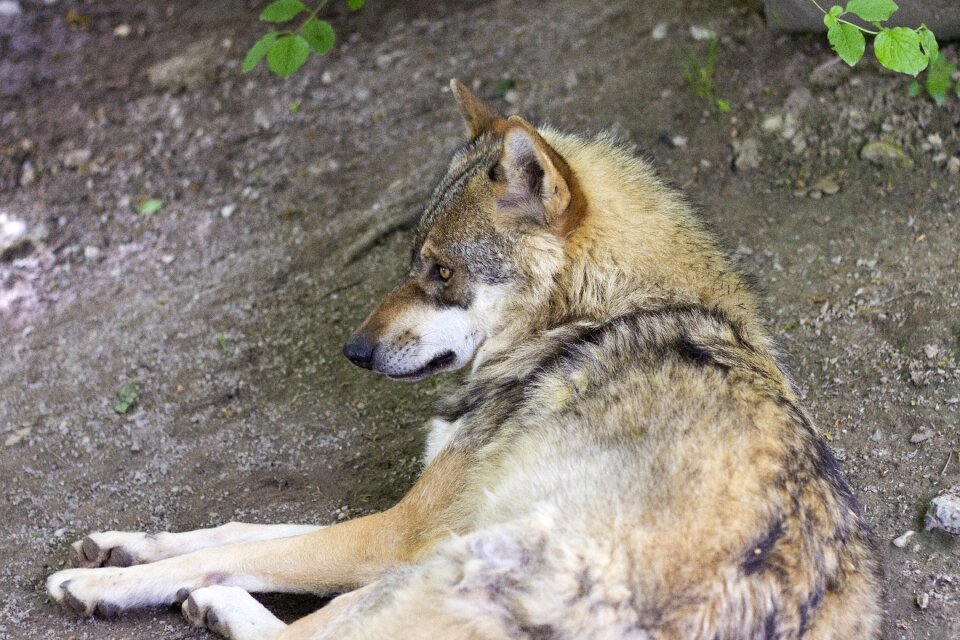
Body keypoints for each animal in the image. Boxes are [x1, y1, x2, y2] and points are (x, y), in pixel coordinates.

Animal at [48, 82, 880, 636]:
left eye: (442, 272)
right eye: (411, 260)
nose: (352, 351)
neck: (598, 314)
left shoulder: (400, 530)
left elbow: (238, 548)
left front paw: (97, 580)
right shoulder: (409, 517)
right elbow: (234, 528)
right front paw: (123, 545)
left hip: (432, 563)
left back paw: (209, 604)